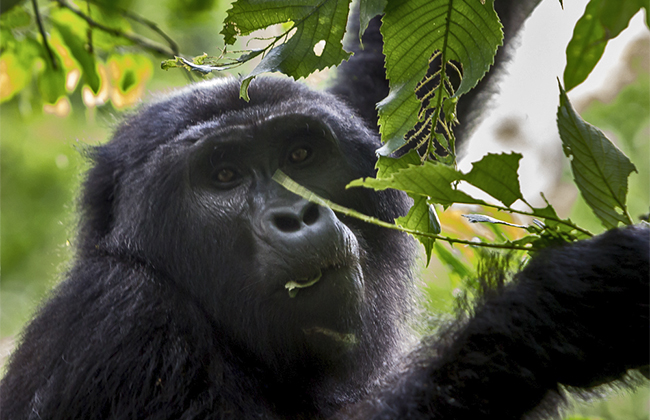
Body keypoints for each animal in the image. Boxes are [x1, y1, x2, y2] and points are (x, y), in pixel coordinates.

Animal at [1, 0, 648, 420]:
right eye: (223, 175)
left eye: (301, 154)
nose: (296, 215)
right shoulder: (119, 320)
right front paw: (555, 306)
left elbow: (400, 91)